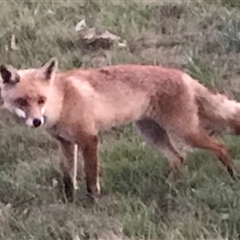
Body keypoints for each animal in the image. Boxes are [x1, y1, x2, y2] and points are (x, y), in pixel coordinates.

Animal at [0, 57, 238, 200]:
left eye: (41, 100)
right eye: (22, 101)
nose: (36, 121)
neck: (63, 100)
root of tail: (183, 75)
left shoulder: (89, 139)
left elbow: (90, 179)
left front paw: (92, 203)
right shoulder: (66, 143)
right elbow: (69, 178)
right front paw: (70, 201)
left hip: (185, 131)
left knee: (220, 147)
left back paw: (233, 176)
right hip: (151, 133)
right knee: (178, 158)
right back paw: (168, 186)